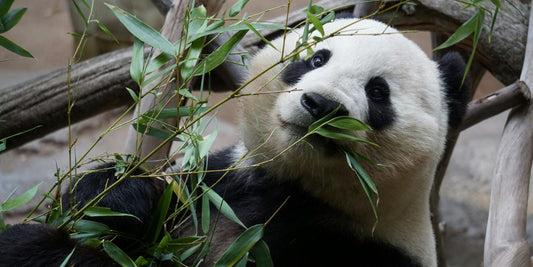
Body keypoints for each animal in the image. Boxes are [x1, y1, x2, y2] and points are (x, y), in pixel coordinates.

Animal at [0, 17, 466, 266]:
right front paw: (120, 196)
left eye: (378, 92)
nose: (320, 105)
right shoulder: (220, 184)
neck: (299, 189)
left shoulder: (362, 248)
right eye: (316, 57)